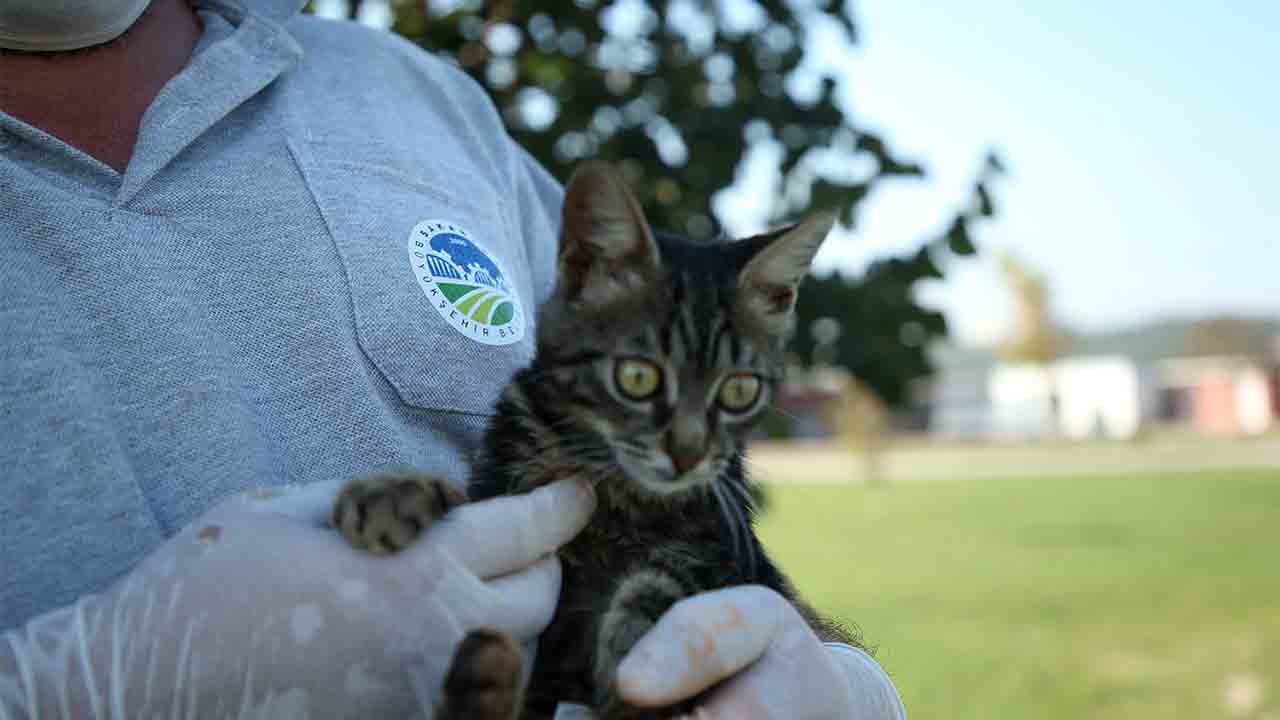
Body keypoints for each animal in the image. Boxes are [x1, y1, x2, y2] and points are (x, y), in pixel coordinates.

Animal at [332, 160, 859, 719]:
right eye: (637, 377)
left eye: (740, 390)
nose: (687, 455)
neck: (609, 483)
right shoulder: (500, 488)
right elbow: (473, 506)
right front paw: (391, 491)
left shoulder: (732, 559)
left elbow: (669, 583)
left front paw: (637, 658)